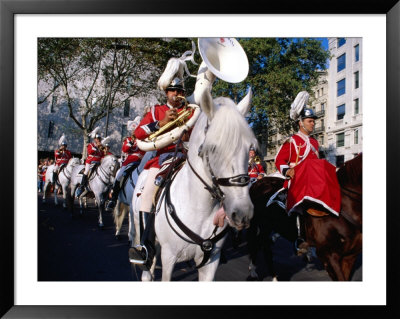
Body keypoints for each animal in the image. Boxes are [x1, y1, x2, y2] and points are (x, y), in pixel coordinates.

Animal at [132, 90, 256, 282]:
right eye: (213, 148)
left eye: (249, 147)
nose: (242, 212)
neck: (200, 207)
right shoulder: (169, 257)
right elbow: (140, 130)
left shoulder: (211, 261)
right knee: (147, 270)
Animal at [247, 154, 362, 282]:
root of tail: (257, 183)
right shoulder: (328, 254)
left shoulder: (350, 256)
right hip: (260, 225)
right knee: (259, 246)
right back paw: (260, 272)